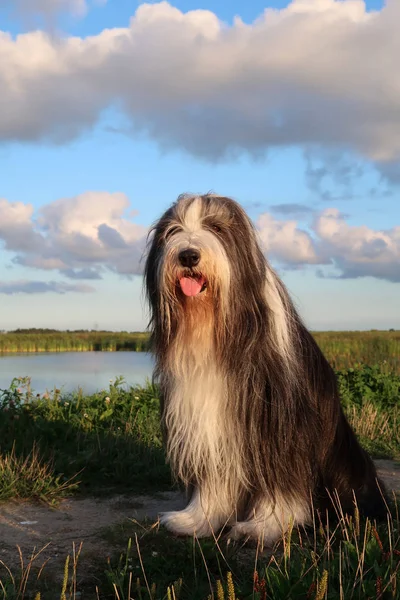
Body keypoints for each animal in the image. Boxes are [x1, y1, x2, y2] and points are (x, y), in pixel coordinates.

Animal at [144, 193, 388, 544]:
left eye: (216, 228)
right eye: (172, 231)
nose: (188, 254)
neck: (217, 328)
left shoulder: (279, 425)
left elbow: (281, 482)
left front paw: (263, 526)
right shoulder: (208, 422)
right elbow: (214, 478)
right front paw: (196, 520)